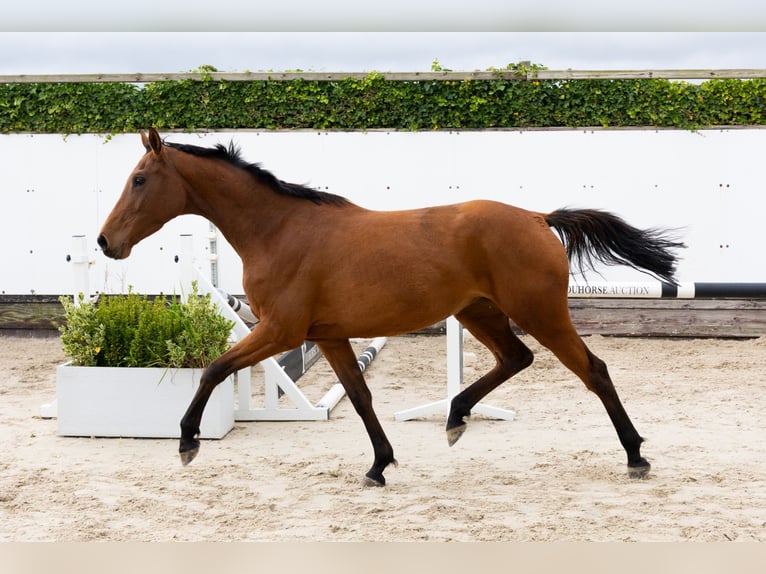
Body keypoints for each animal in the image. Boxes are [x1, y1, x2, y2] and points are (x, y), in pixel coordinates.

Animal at [98, 128, 684, 486]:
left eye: (140, 179)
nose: (106, 242)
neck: (279, 230)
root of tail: (538, 217)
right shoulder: (328, 335)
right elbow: (360, 398)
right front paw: (379, 465)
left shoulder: (281, 331)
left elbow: (213, 369)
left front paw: (187, 440)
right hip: (479, 312)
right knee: (517, 359)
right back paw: (455, 416)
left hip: (540, 312)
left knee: (594, 370)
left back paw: (635, 455)